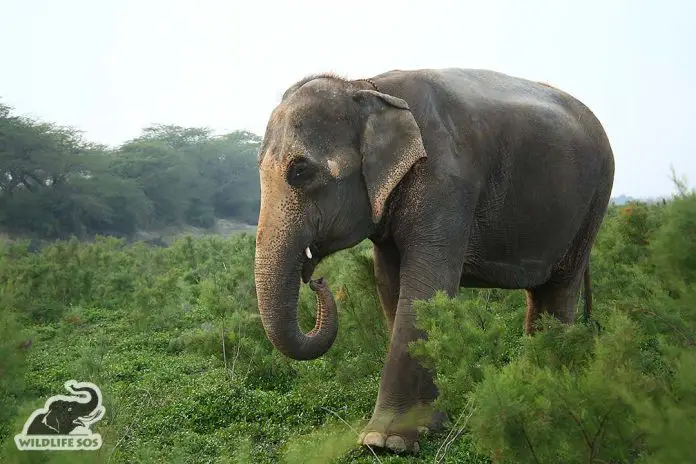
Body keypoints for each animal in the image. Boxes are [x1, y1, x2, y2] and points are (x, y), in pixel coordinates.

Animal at [254, 67, 616, 452]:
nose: (317, 281)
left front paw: (385, 441)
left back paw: (548, 403)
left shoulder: (447, 182)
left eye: (300, 171)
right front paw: (426, 426)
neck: (366, 86)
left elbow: (424, 288)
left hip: (594, 201)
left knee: (560, 288)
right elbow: (390, 284)